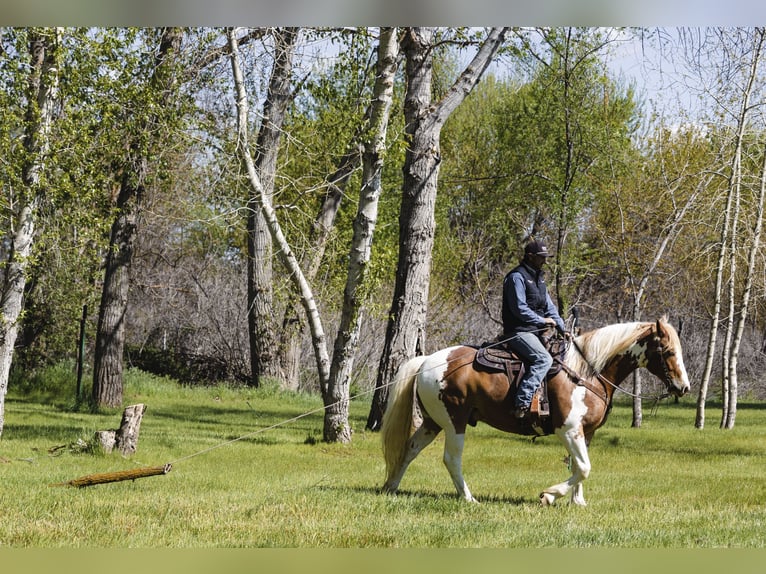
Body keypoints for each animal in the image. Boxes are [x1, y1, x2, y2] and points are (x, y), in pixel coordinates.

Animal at [380, 317, 690, 506]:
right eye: (668, 351)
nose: (684, 387)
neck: (586, 373)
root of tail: (425, 362)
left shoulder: (585, 433)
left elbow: (579, 467)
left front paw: (578, 501)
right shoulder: (568, 430)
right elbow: (584, 467)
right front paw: (550, 495)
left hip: (432, 422)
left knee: (410, 448)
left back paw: (390, 487)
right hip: (454, 422)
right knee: (451, 459)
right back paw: (468, 498)